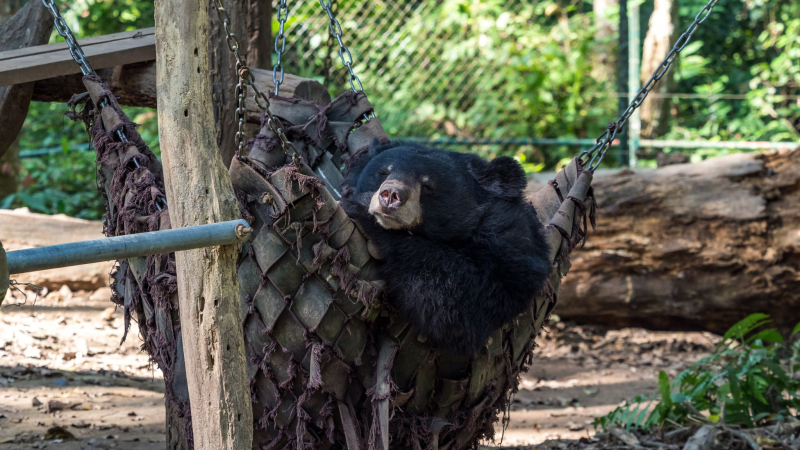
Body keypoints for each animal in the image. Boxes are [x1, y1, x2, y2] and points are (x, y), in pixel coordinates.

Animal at [340, 139, 552, 354]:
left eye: (427, 185)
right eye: (383, 172)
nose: (391, 194)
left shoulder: (511, 246)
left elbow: (457, 304)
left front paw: (359, 213)